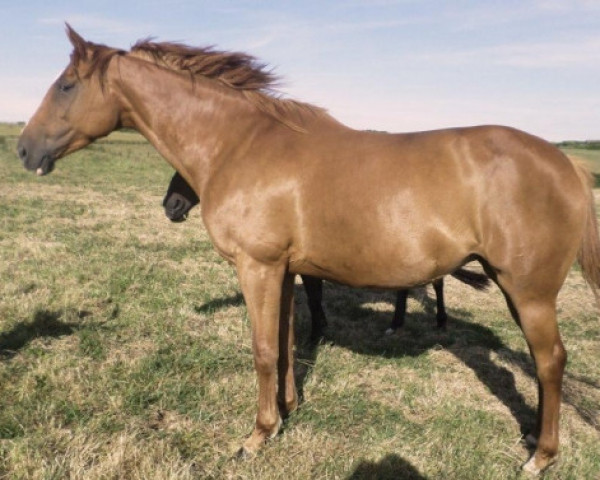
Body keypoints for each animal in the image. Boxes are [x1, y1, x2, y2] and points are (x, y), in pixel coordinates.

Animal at [162, 171, 490, 336]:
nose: (170, 207)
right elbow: (313, 294)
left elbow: (313, 295)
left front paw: (319, 330)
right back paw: (397, 323)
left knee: (436, 283)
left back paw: (437, 322)